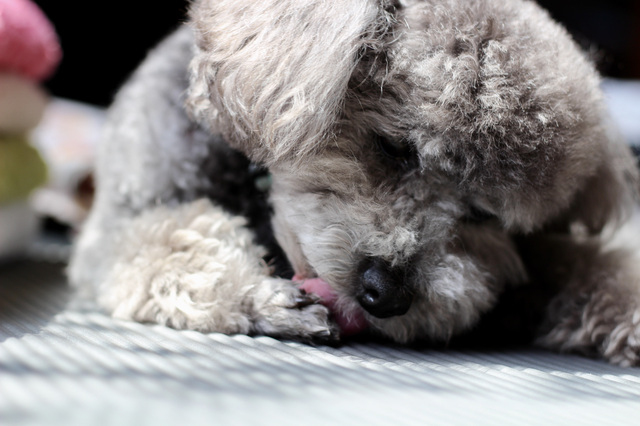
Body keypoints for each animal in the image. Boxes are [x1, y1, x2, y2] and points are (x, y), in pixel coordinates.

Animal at [69, 0, 640, 366]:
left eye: (486, 214)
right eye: (396, 148)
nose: (385, 293)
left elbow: (582, 264)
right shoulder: (118, 227)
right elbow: (173, 246)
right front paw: (263, 299)